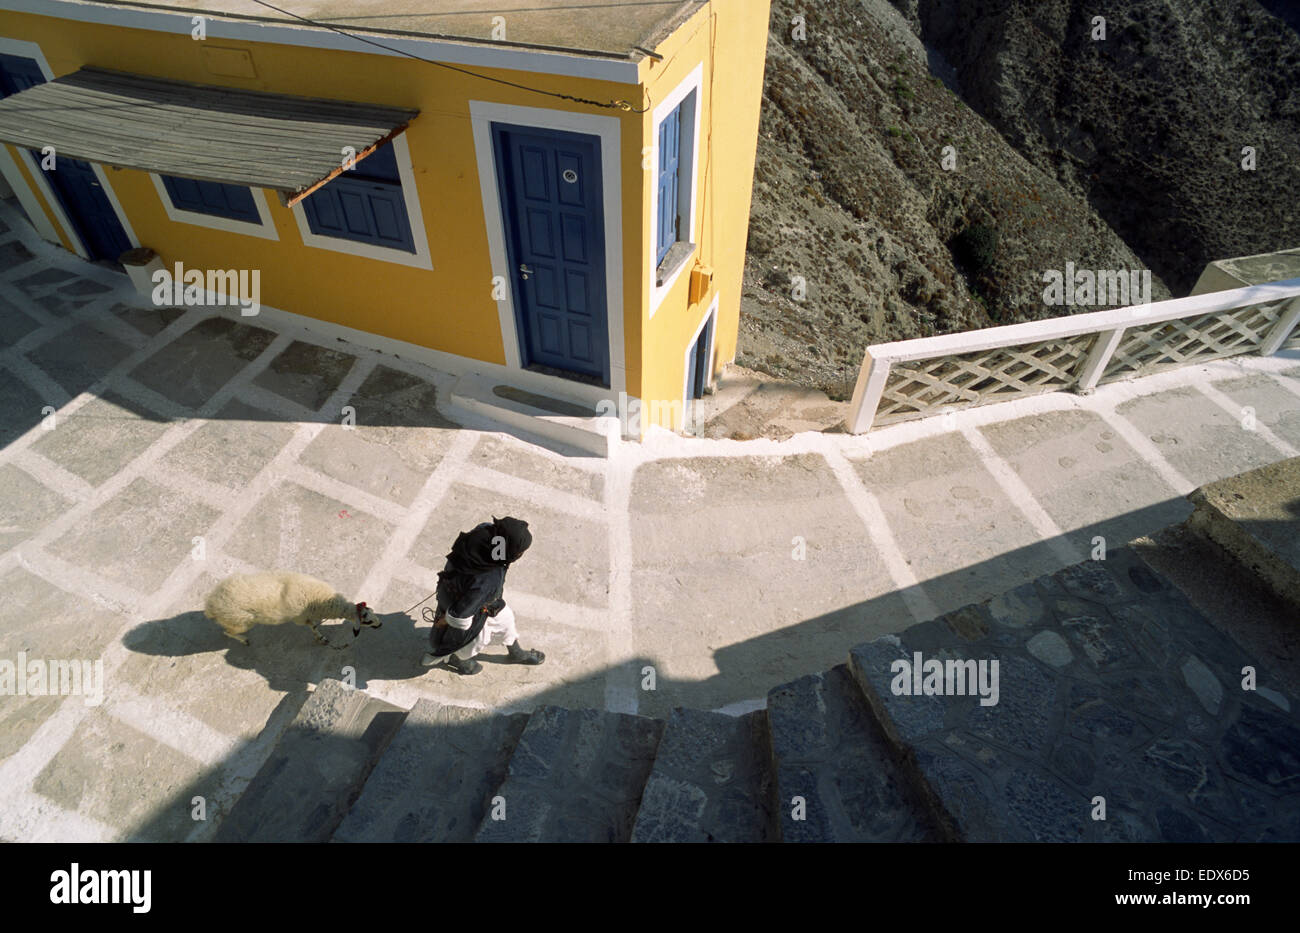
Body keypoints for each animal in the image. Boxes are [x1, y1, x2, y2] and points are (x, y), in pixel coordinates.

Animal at [200, 574, 379, 647]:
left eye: (371, 610)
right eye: (367, 621)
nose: (381, 625)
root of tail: (210, 605)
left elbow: (313, 626)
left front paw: (321, 636)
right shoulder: (301, 618)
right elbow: (312, 626)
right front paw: (321, 638)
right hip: (239, 621)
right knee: (227, 632)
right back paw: (244, 640)